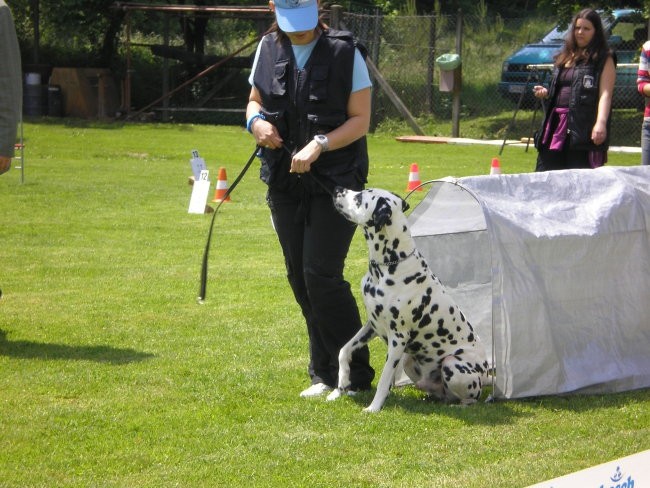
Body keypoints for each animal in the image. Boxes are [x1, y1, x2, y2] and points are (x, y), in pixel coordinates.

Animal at [326, 187, 488, 412]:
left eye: (359, 197)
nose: (337, 189)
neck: (389, 266)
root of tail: (487, 373)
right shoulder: (372, 326)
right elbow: (344, 350)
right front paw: (340, 387)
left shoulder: (397, 339)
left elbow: (384, 378)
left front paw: (373, 407)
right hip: (409, 359)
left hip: (452, 364)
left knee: (470, 400)